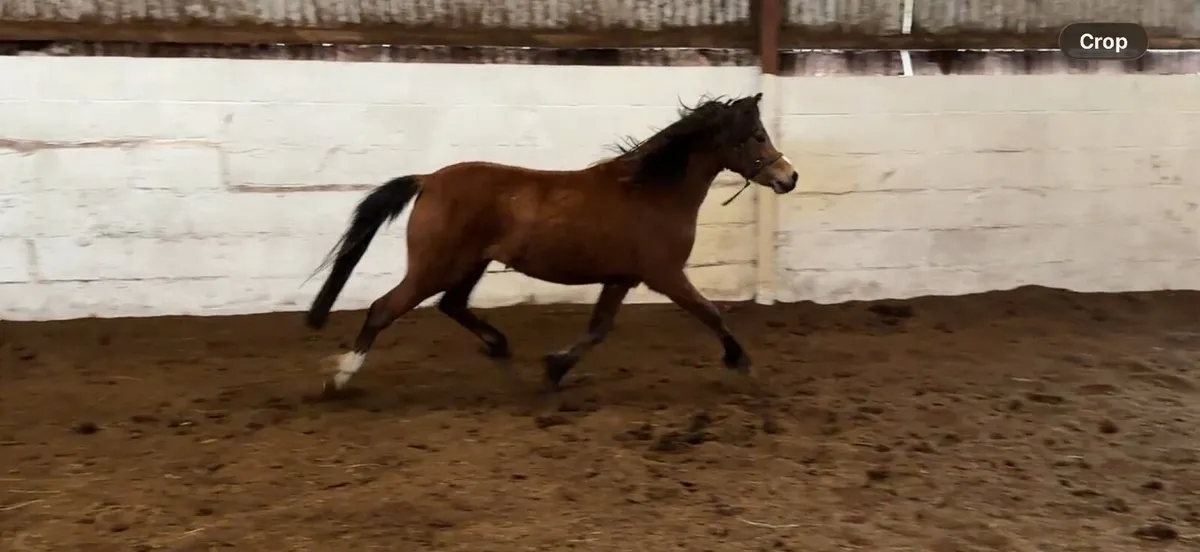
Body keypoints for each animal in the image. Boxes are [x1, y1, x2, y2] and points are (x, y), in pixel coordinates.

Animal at [305, 93, 798, 394]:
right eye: (758, 136)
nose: (788, 177)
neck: (652, 190)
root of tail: (428, 180)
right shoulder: (665, 275)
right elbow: (711, 314)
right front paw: (742, 362)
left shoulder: (622, 278)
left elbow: (598, 329)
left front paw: (555, 368)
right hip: (436, 266)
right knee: (383, 309)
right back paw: (340, 379)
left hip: (469, 265)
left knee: (452, 305)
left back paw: (500, 347)